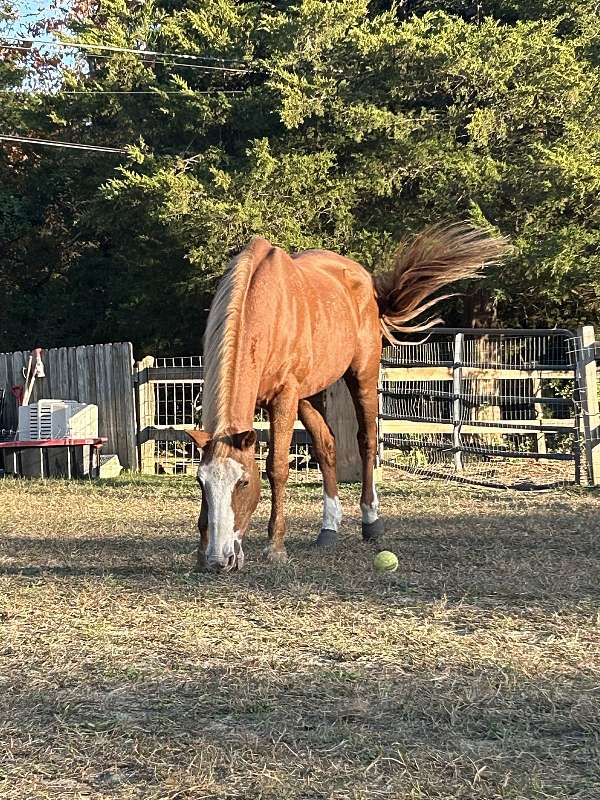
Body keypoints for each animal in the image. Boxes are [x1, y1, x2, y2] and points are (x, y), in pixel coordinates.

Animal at [186, 225, 506, 572]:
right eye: (202, 483)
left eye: (243, 482)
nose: (219, 559)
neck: (263, 308)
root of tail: (364, 281)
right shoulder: (290, 397)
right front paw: (202, 549)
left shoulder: (284, 398)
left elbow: (277, 467)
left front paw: (275, 546)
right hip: (310, 394)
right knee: (327, 446)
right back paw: (329, 529)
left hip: (361, 376)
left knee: (366, 440)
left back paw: (371, 522)